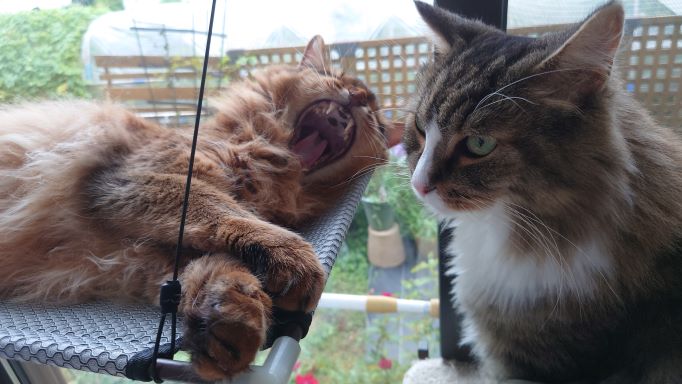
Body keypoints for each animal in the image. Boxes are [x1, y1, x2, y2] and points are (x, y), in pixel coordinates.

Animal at [0, 36, 386, 380]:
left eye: (378, 121)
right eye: (337, 79)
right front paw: (294, 258)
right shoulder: (136, 181)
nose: (360, 98)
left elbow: (210, 269)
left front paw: (231, 318)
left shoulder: (139, 257)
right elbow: (223, 210)